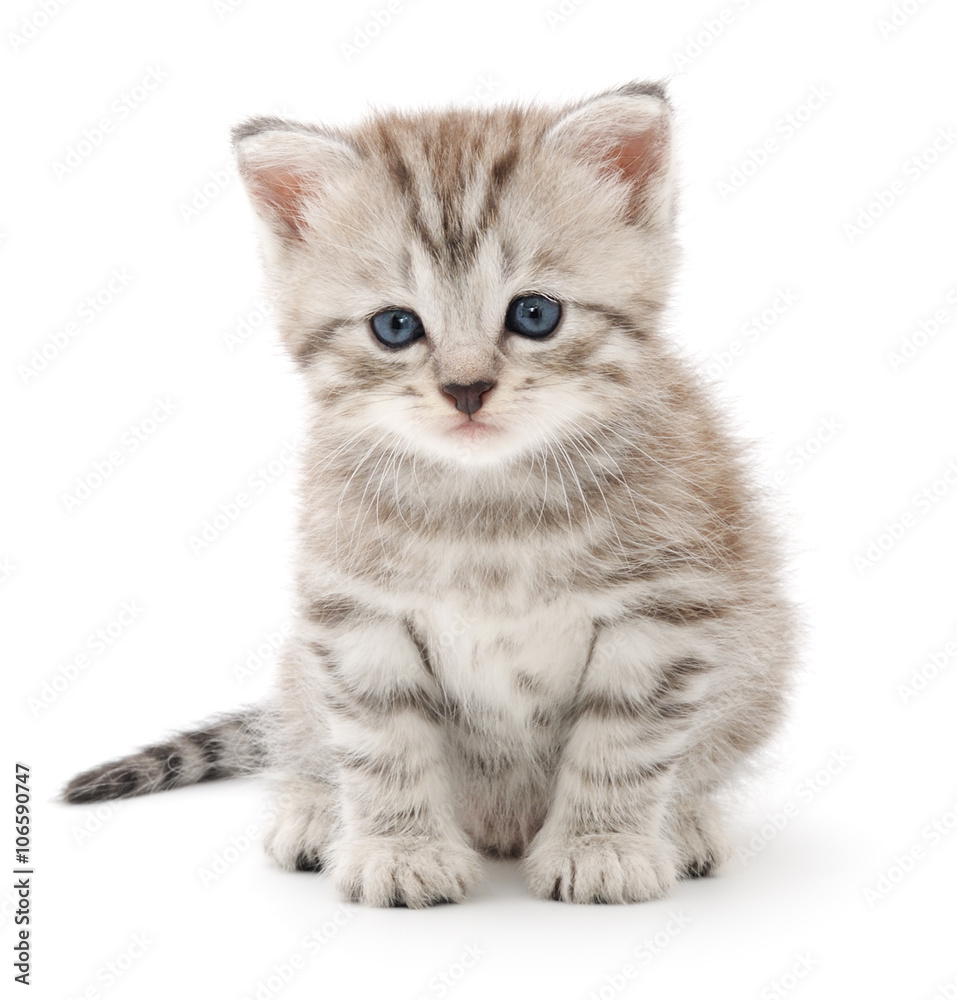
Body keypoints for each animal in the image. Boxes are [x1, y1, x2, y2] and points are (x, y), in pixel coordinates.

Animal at [61, 84, 792, 908]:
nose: (466, 388)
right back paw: (316, 810)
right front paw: (397, 850)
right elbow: (382, 741)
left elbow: (624, 741)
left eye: (535, 313)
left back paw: (685, 821)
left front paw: (601, 844)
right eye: (395, 326)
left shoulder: (663, 611)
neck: (488, 507)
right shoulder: (356, 612)